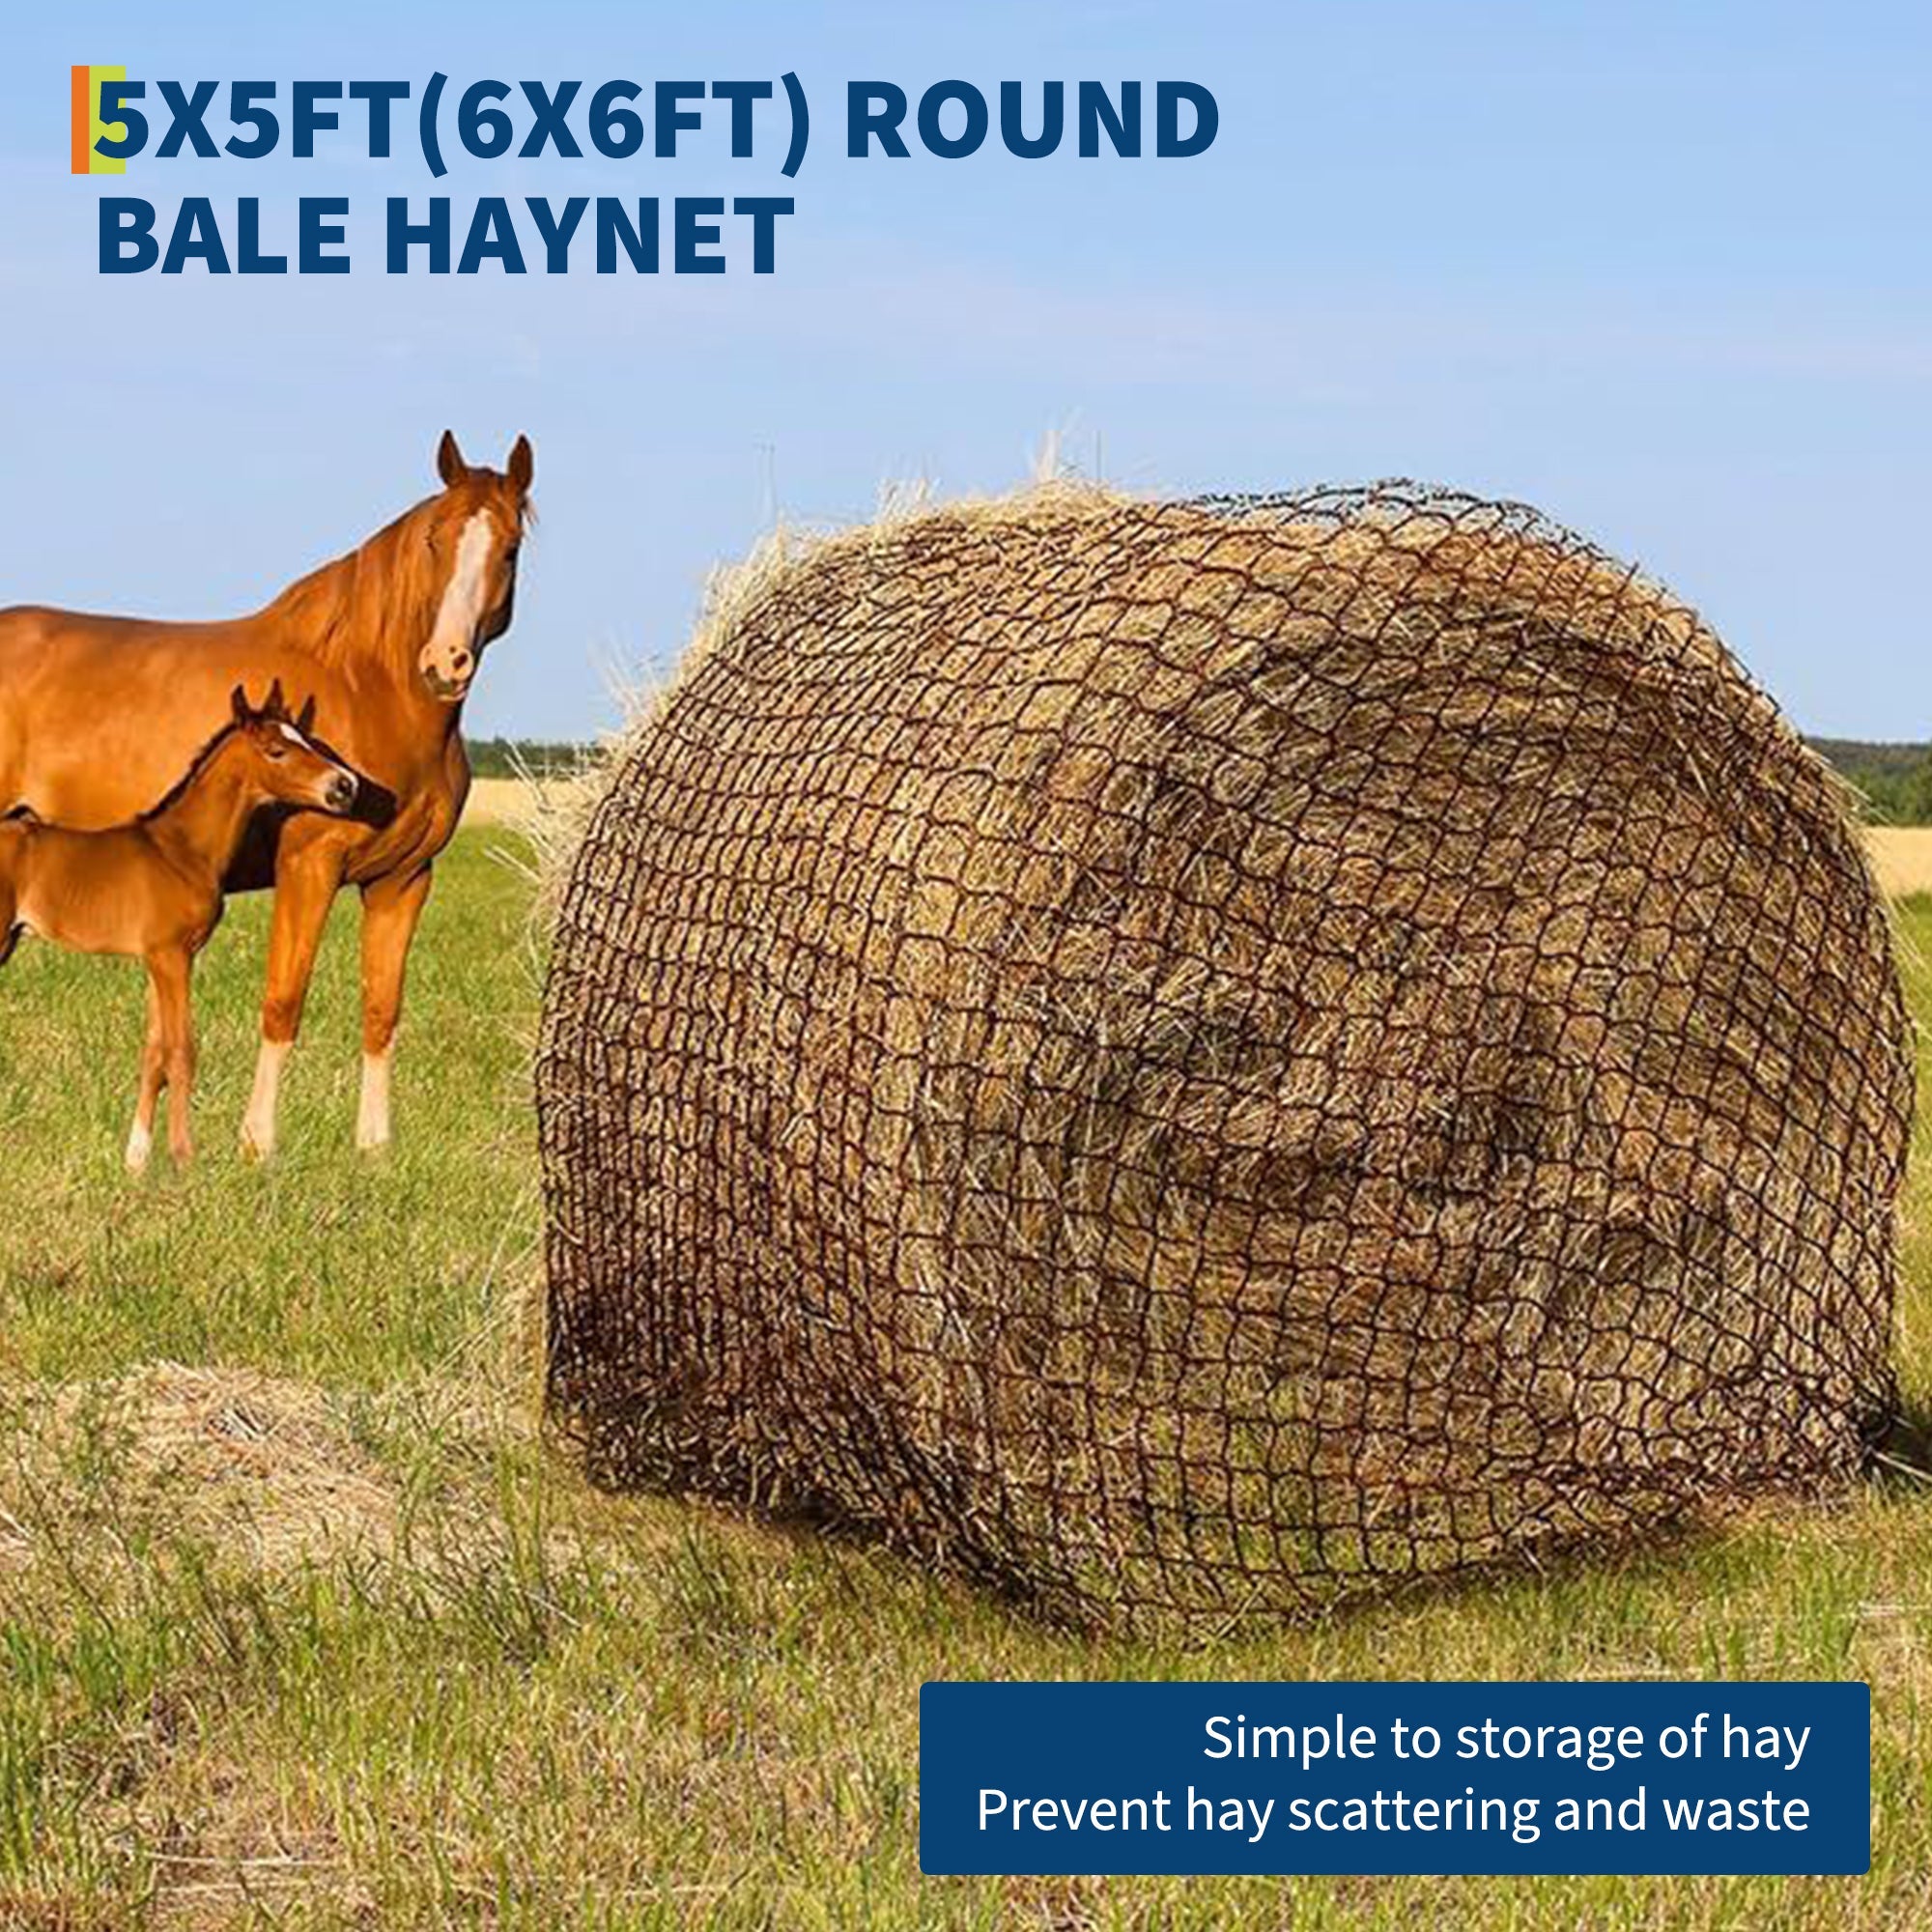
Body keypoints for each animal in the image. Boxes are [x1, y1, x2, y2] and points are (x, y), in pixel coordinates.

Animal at [0, 683, 365, 1170]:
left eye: (309, 741)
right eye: (277, 751)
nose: (345, 786)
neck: (183, 849)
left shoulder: (161, 960)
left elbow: (154, 1053)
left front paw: (136, 1159)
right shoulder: (172, 957)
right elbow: (181, 1053)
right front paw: (183, 1157)